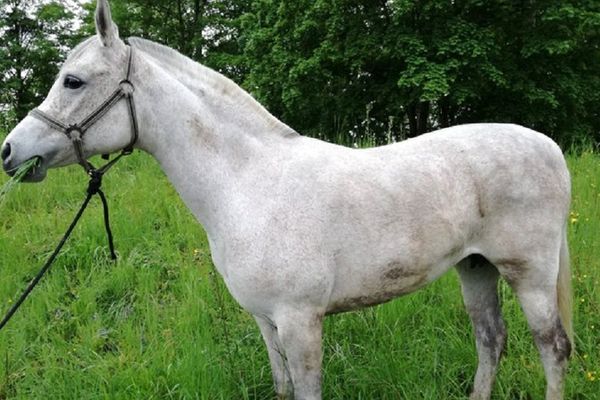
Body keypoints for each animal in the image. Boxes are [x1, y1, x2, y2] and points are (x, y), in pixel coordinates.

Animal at [0, 1, 572, 398]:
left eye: (73, 81)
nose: (10, 151)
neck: (247, 184)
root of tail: (550, 147)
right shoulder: (266, 322)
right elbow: (282, 387)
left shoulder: (301, 322)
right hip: (475, 267)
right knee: (491, 339)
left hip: (529, 273)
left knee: (552, 347)